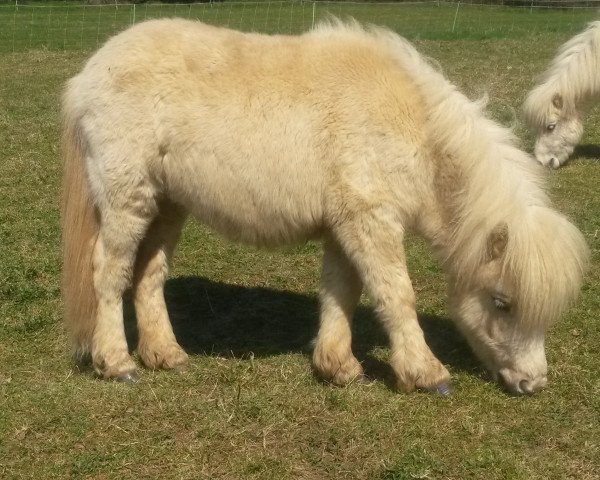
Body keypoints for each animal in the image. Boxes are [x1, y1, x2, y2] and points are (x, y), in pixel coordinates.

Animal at [61, 18, 584, 396]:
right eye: (502, 302)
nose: (532, 384)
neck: (415, 125)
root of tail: (90, 74)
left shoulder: (345, 225)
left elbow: (341, 291)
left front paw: (338, 366)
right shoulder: (371, 221)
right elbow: (396, 293)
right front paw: (425, 373)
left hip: (167, 204)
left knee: (148, 273)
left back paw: (164, 354)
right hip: (127, 198)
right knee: (109, 272)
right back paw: (117, 363)